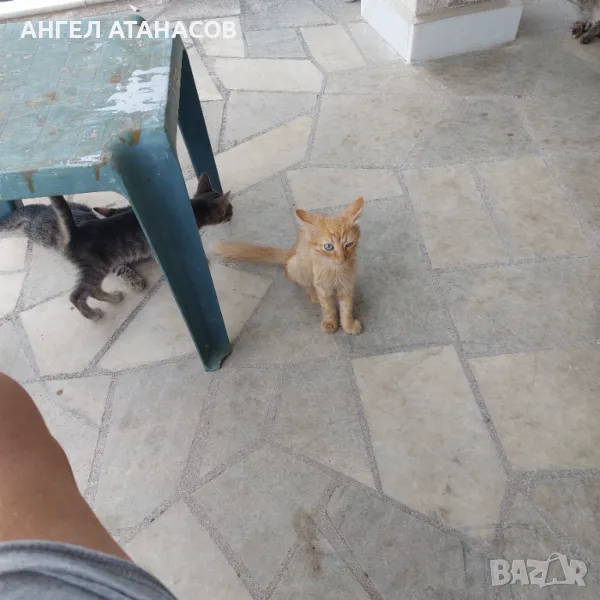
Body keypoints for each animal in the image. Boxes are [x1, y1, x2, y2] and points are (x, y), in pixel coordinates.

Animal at [47, 173, 232, 321]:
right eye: (229, 208)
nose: (233, 211)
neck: (189, 210)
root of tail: (76, 232)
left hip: (98, 268)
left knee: (93, 290)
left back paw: (113, 298)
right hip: (95, 268)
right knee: (76, 296)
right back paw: (92, 315)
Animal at [213, 197, 364, 335]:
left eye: (349, 244)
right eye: (328, 247)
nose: (342, 258)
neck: (335, 270)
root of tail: (290, 253)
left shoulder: (347, 286)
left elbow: (346, 308)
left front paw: (348, 325)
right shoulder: (322, 286)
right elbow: (328, 307)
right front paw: (330, 322)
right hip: (298, 267)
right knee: (302, 283)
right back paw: (313, 294)